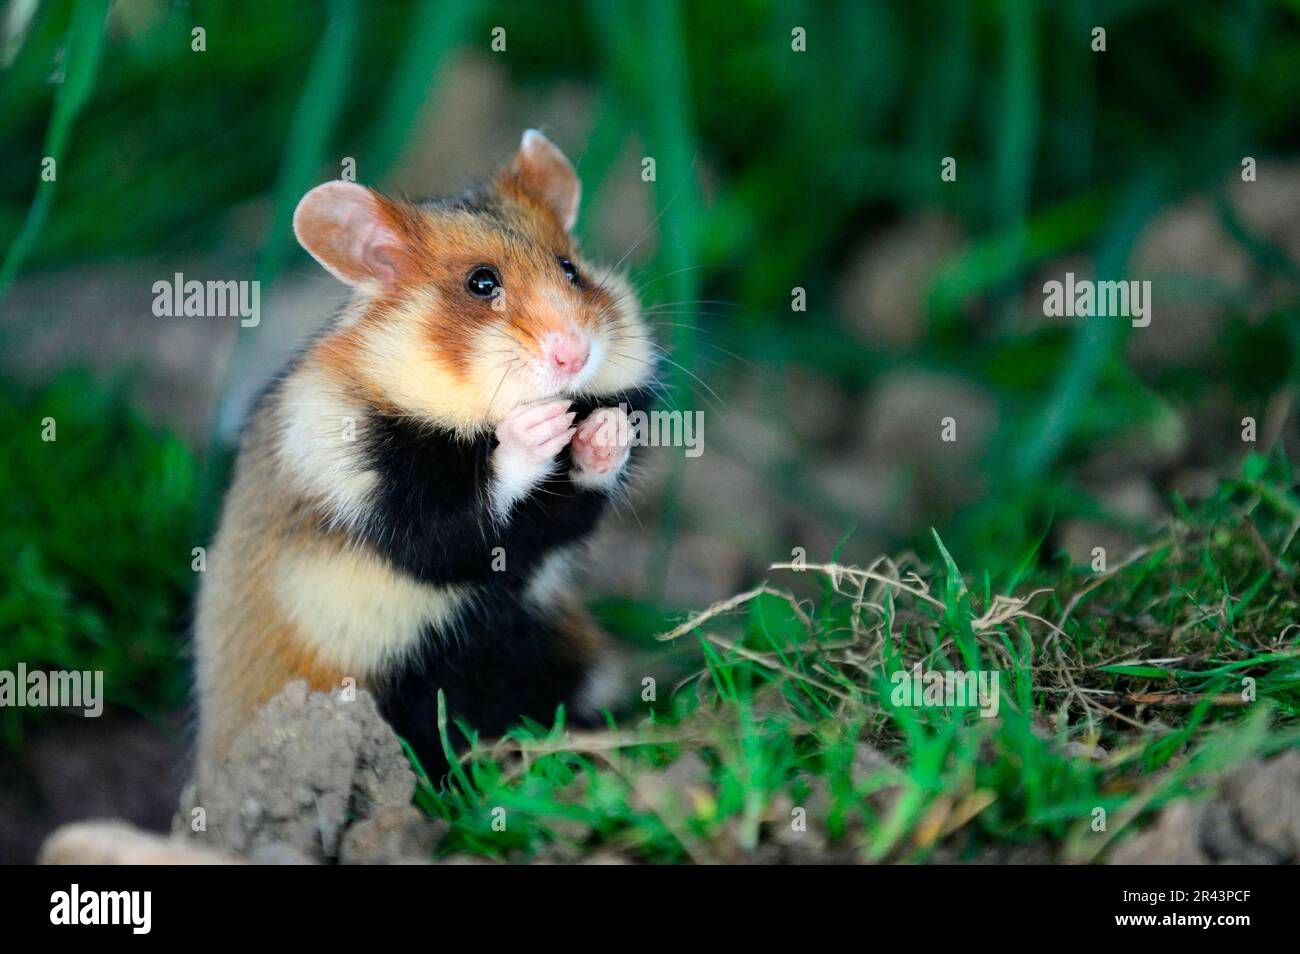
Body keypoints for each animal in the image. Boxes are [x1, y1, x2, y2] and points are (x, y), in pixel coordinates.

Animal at [189, 130, 660, 779]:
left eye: (571, 270)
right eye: (481, 283)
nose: (575, 355)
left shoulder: (542, 541)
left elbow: (570, 508)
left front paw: (604, 428)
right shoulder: (380, 493)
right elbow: (458, 519)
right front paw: (538, 426)